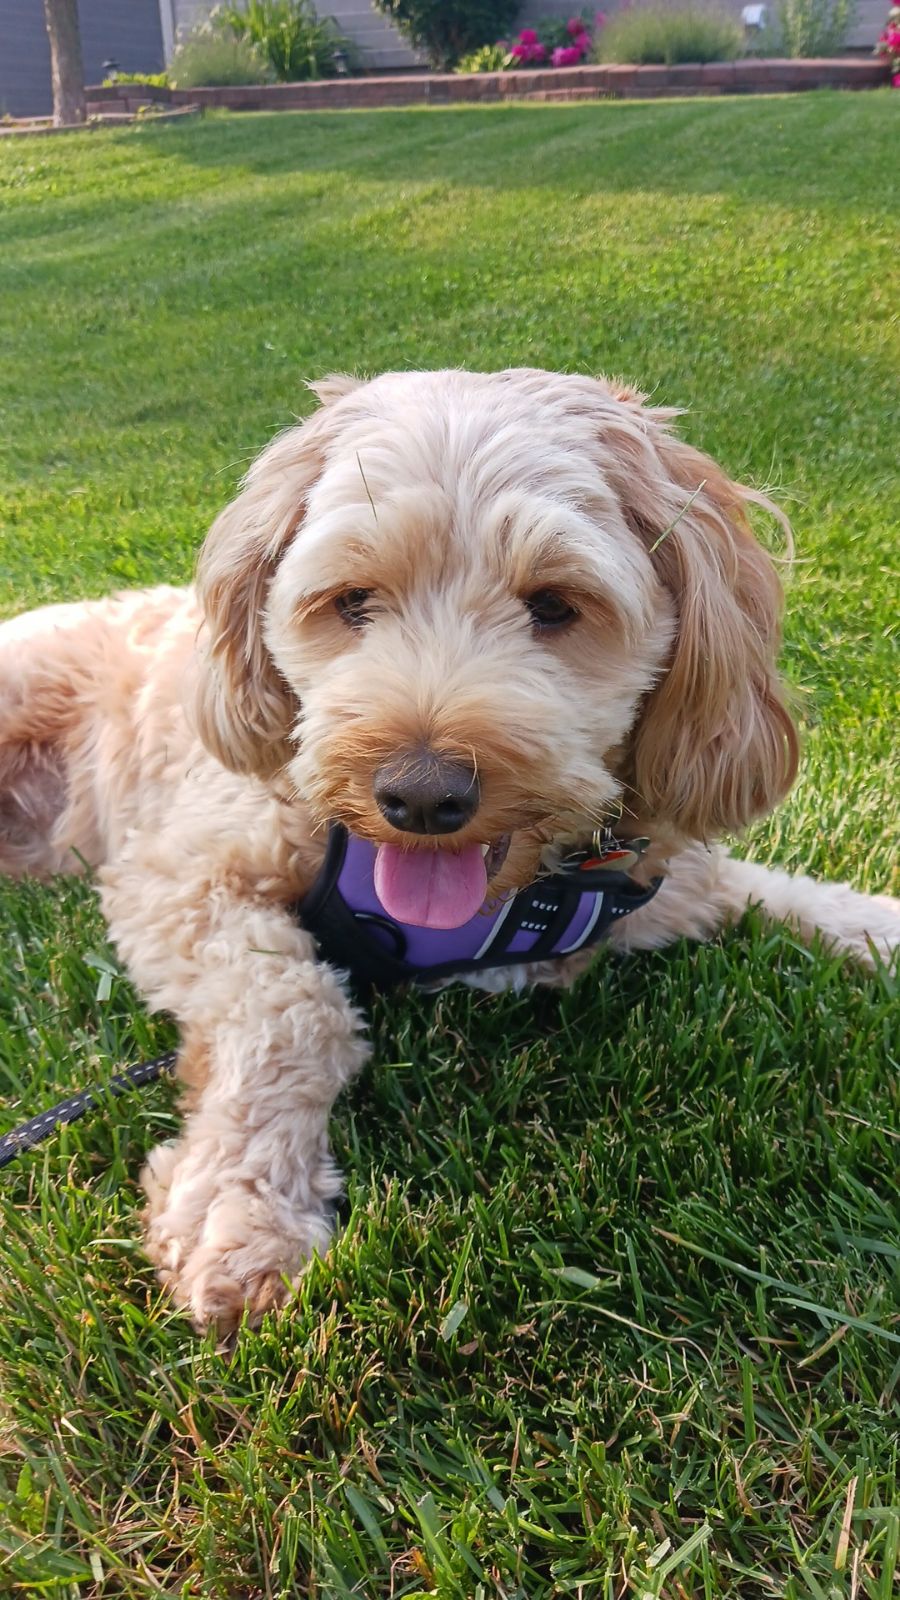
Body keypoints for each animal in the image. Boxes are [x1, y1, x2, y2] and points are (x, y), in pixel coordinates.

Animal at [1, 369, 897, 1333]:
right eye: (353, 601)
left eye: (555, 605)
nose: (421, 796)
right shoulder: (178, 875)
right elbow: (295, 1008)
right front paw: (241, 1211)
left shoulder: (665, 876)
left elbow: (777, 891)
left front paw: (874, 925)